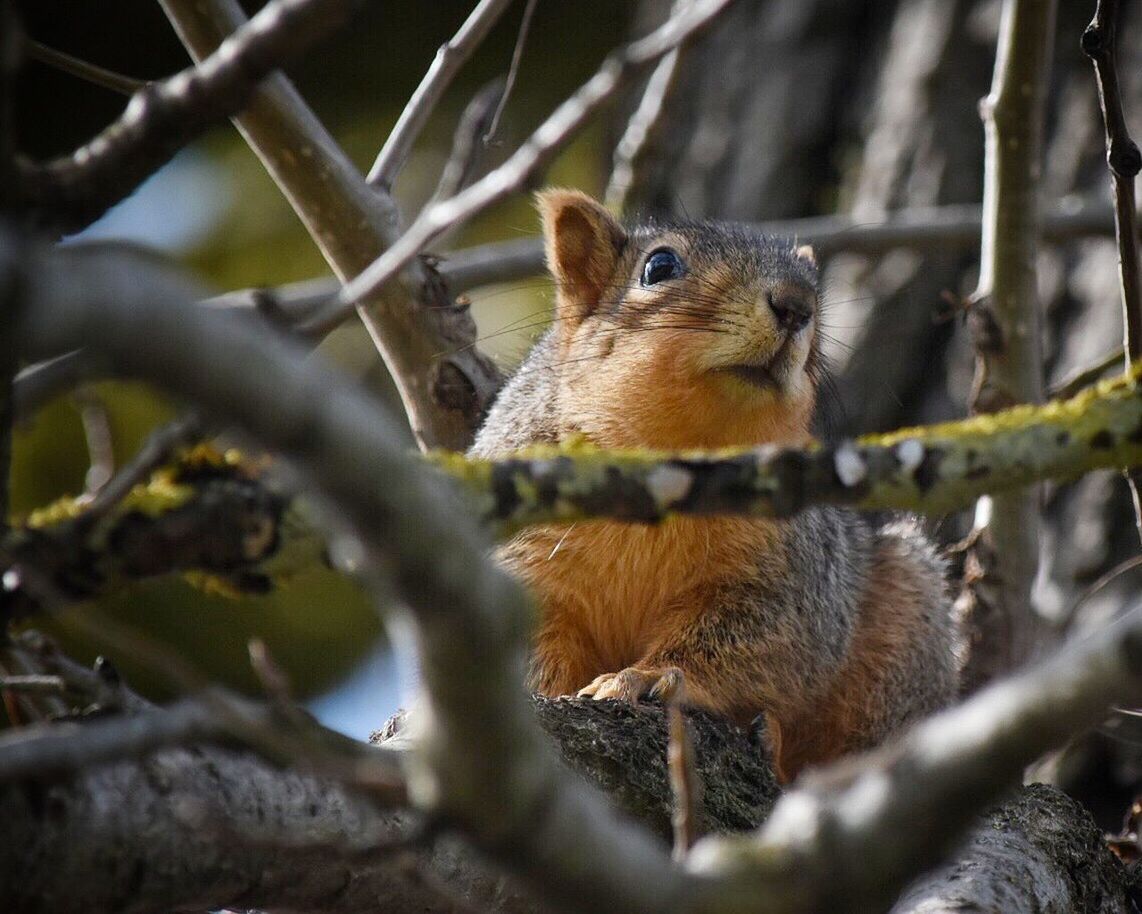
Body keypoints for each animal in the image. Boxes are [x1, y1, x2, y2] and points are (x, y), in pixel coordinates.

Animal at [468, 189, 959, 781]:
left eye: (814, 287)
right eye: (658, 266)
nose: (797, 304)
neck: (669, 472)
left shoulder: (790, 578)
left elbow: (752, 641)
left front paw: (645, 678)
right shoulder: (523, 561)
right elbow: (530, 649)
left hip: (908, 620)